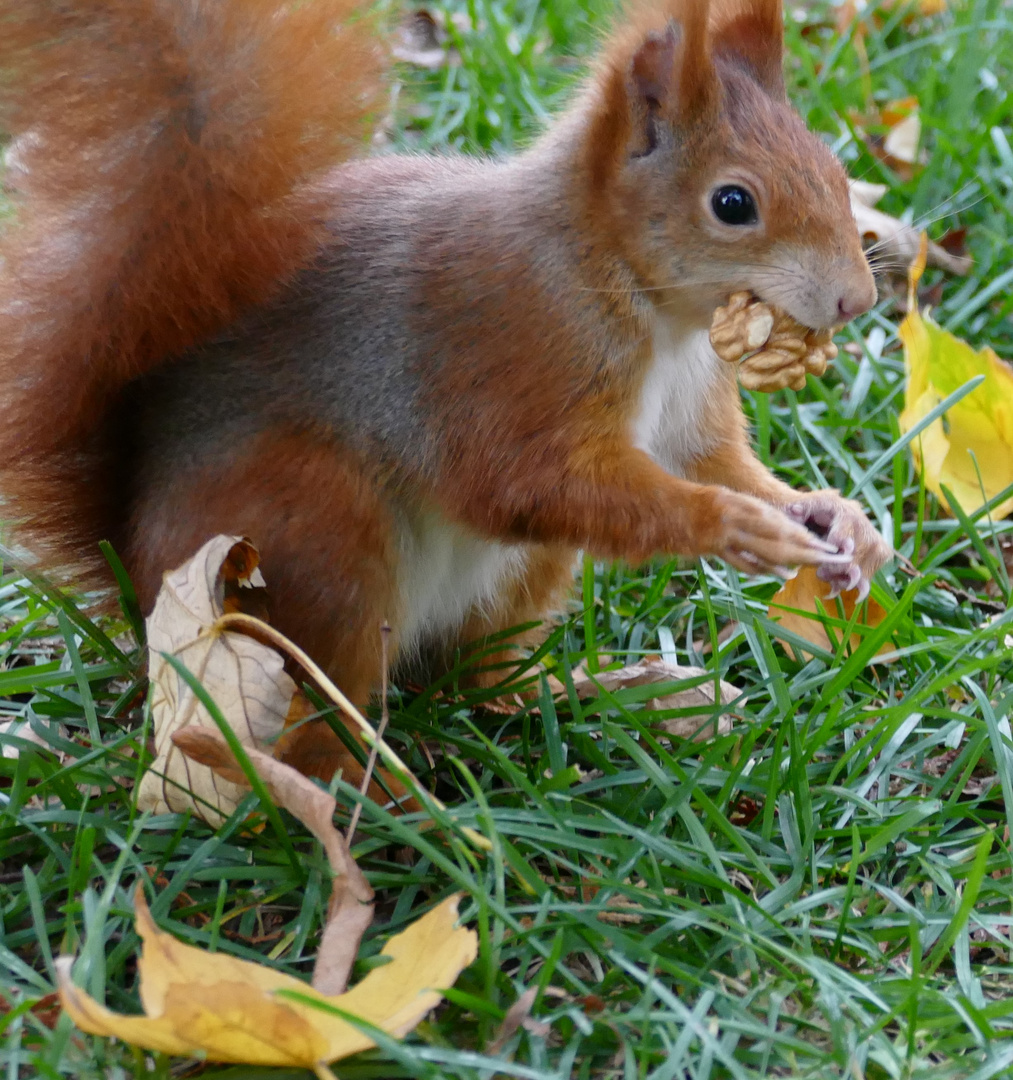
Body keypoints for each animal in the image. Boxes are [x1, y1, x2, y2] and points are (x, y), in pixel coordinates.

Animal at [1, 0, 885, 781]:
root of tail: (142, 584)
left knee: (476, 679)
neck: (640, 298)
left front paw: (835, 519)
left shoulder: (687, 405)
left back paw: (611, 696)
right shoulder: (504, 351)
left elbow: (711, 462)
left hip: (517, 576)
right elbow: (519, 481)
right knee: (310, 722)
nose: (858, 299)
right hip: (314, 539)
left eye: (836, 171)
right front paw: (733, 526)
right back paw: (392, 805)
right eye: (732, 203)